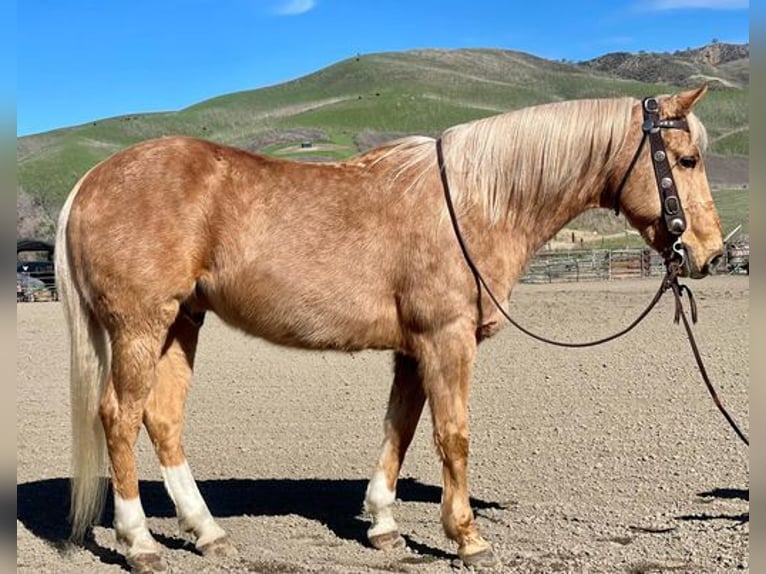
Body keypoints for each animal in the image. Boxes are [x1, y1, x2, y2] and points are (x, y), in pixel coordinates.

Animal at [55, 83, 728, 572]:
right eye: (686, 159)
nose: (710, 254)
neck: (473, 203)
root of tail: (91, 180)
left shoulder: (413, 349)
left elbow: (398, 430)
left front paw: (383, 524)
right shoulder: (446, 339)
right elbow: (452, 435)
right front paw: (467, 537)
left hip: (181, 323)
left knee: (162, 418)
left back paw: (208, 533)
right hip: (141, 326)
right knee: (119, 417)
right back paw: (140, 542)